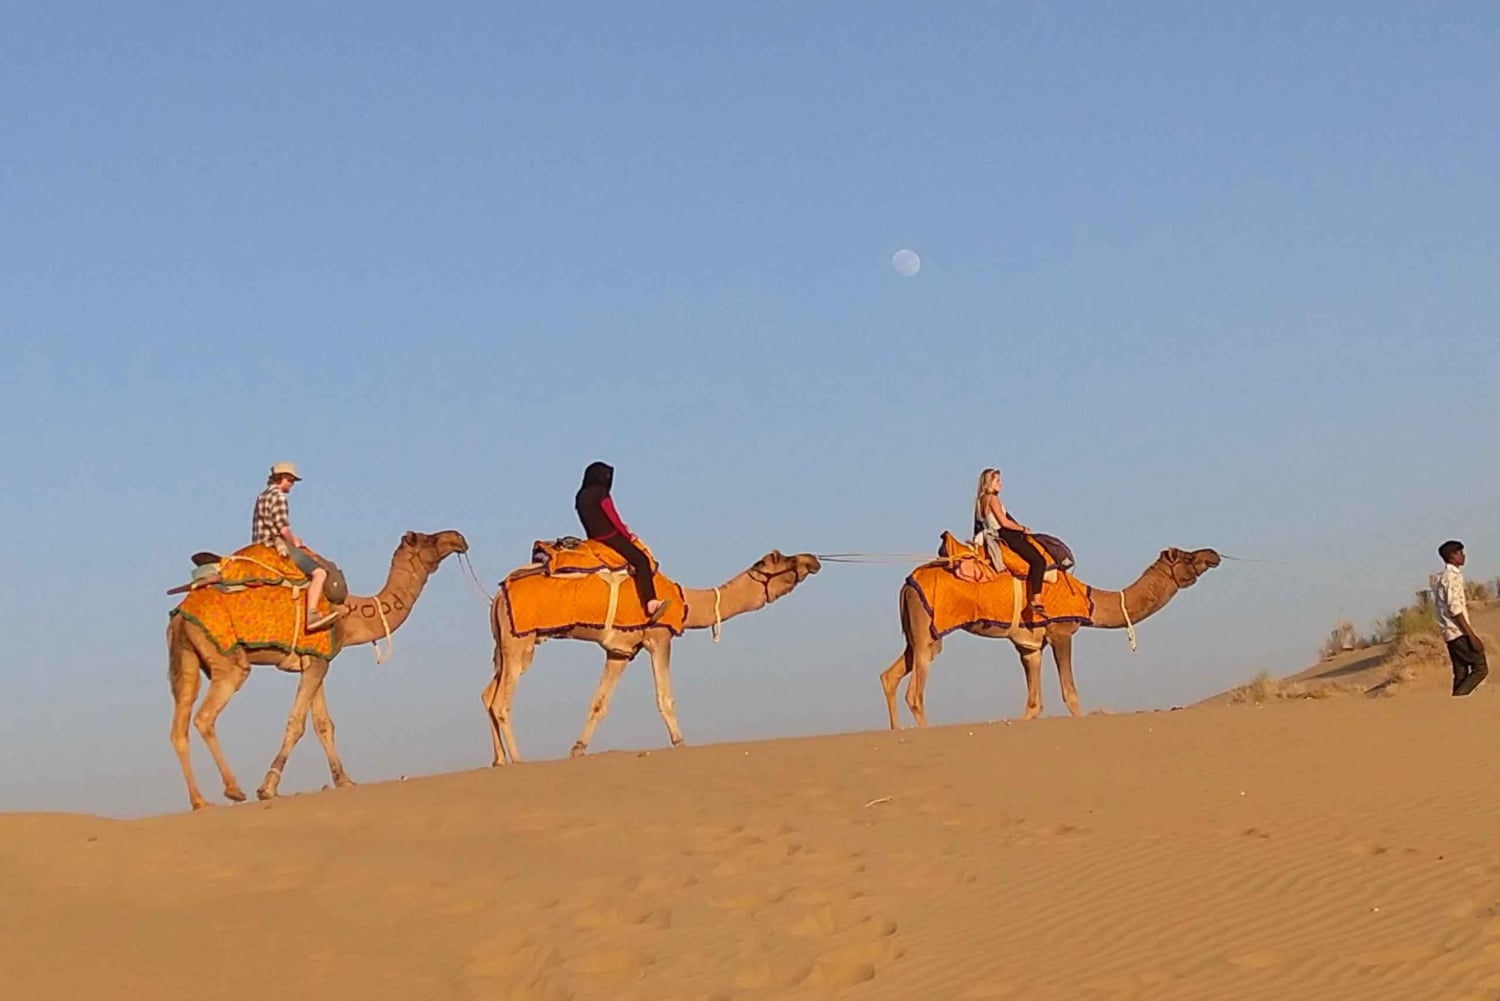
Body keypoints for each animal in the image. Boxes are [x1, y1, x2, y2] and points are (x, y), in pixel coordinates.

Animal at [167, 530, 468, 810]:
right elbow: (296, 723)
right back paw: (233, 790)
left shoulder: (316, 660)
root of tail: (180, 615)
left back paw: (200, 802)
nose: (458, 538)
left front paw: (344, 780)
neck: (351, 615)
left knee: (179, 725)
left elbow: (323, 724)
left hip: (186, 658)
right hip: (227, 660)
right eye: (427, 540)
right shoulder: (318, 660)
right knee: (204, 717)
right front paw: (268, 788)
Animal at [483, 549, 821, 764]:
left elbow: (599, 703)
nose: (812, 559)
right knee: (501, 702)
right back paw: (519, 760)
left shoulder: (620, 651)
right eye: (781, 558)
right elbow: (664, 697)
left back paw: (499, 760)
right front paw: (680, 742)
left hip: (505, 644)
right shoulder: (659, 638)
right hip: (520, 642)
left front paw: (577, 749)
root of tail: (497, 596)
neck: (686, 603)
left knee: (488, 695)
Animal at [881, 547, 1221, 726]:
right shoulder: (1061, 633)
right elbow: (1070, 693)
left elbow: (1034, 703)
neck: (1090, 600)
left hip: (917, 632)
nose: (1213, 555)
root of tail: (906, 584)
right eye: (1187, 557)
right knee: (915, 691)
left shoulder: (1029, 646)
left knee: (890, 675)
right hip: (927, 628)